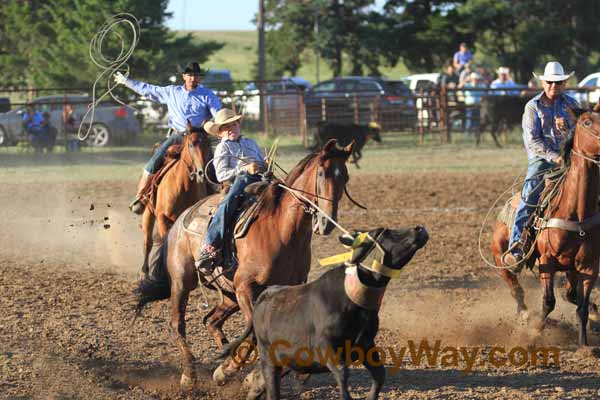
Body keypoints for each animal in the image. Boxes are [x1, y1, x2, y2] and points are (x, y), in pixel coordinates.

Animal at [134, 140, 354, 388]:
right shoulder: (245, 288)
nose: (327, 222)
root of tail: (180, 221)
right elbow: (255, 334)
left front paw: (235, 370)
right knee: (177, 325)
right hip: (182, 282)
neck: (281, 230)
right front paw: (239, 372)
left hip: (229, 294)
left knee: (211, 321)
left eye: (345, 177)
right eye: (321, 173)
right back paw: (190, 374)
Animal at [139, 123, 214, 280]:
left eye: (208, 144)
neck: (182, 187)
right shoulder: (162, 217)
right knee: (148, 242)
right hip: (148, 213)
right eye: (191, 144)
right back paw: (144, 272)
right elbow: (163, 242)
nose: (202, 172)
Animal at [492, 104, 600, 346]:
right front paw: (534, 331)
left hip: (571, 268)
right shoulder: (547, 263)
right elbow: (548, 302)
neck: (575, 212)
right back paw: (525, 315)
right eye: (587, 122)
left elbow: (580, 308)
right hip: (500, 257)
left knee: (570, 295)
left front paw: (584, 345)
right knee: (515, 288)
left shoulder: (589, 267)